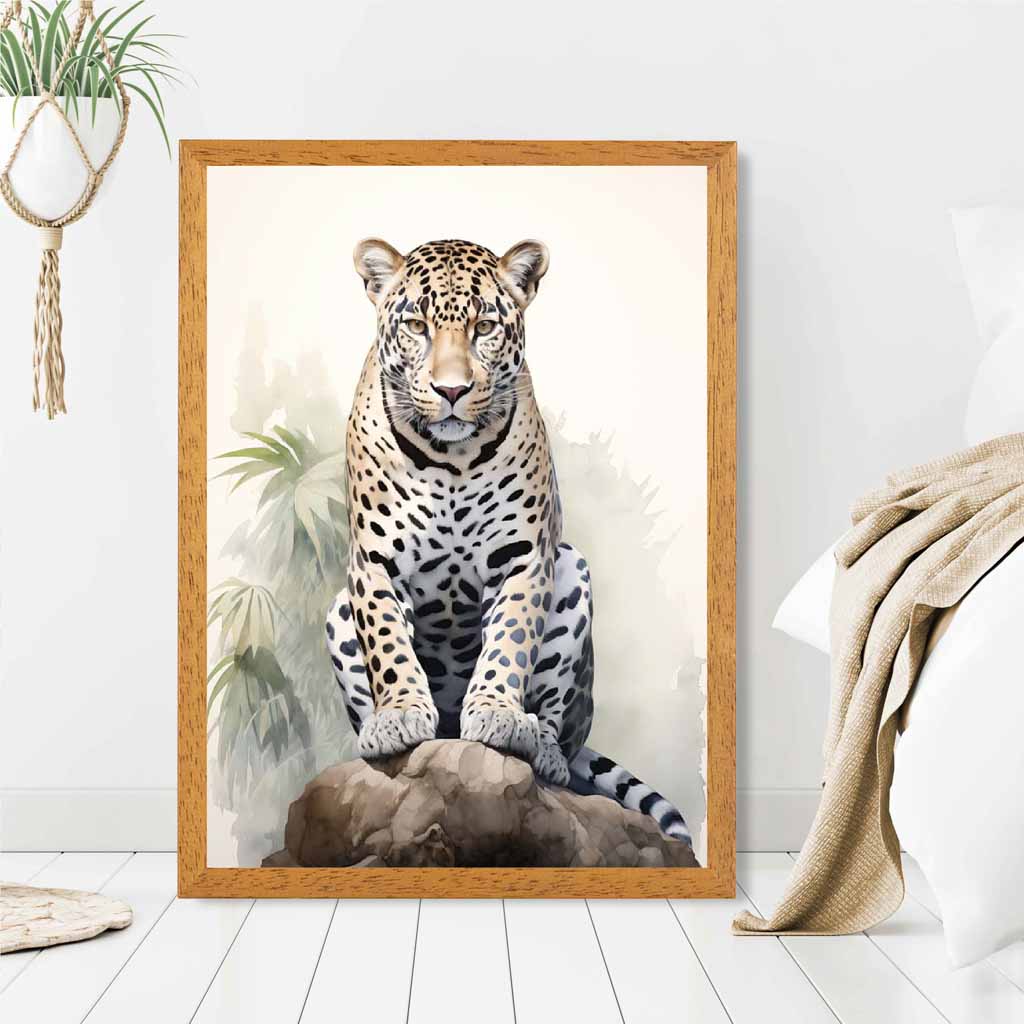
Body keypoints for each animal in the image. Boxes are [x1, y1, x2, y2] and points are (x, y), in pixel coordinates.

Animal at [324, 236, 691, 845]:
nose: (451, 390)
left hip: (573, 575)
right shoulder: (374, 563)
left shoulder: (523, 560)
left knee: (559, 728)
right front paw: (398, 714)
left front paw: (496, 710)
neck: (448, 459)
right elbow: (389, 647)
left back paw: (540, 746)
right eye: (417, 326)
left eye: (485, 327)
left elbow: (510, 643)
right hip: (336, 610)